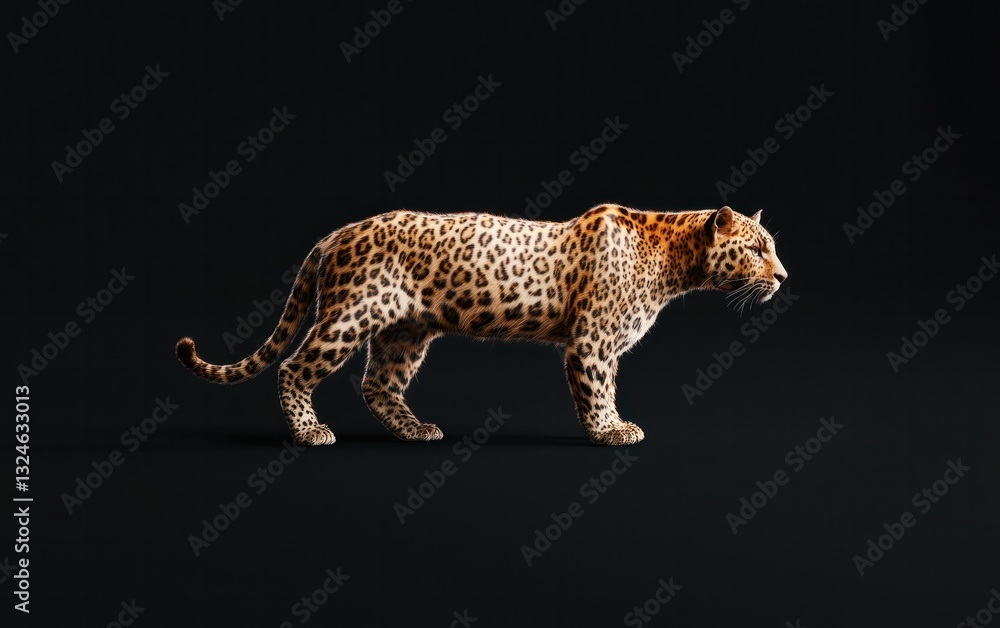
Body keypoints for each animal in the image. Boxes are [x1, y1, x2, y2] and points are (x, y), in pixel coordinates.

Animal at [176, 204, 787, 446]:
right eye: (757, 248)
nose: (783, 276)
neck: (676, 263)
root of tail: (340, 231)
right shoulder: (591, 343)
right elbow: (598, 392)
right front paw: (611, 431)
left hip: (405, 332)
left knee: (378, 385)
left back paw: (417, 430)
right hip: (349, 315)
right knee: (294, 367)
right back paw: (310, 432)